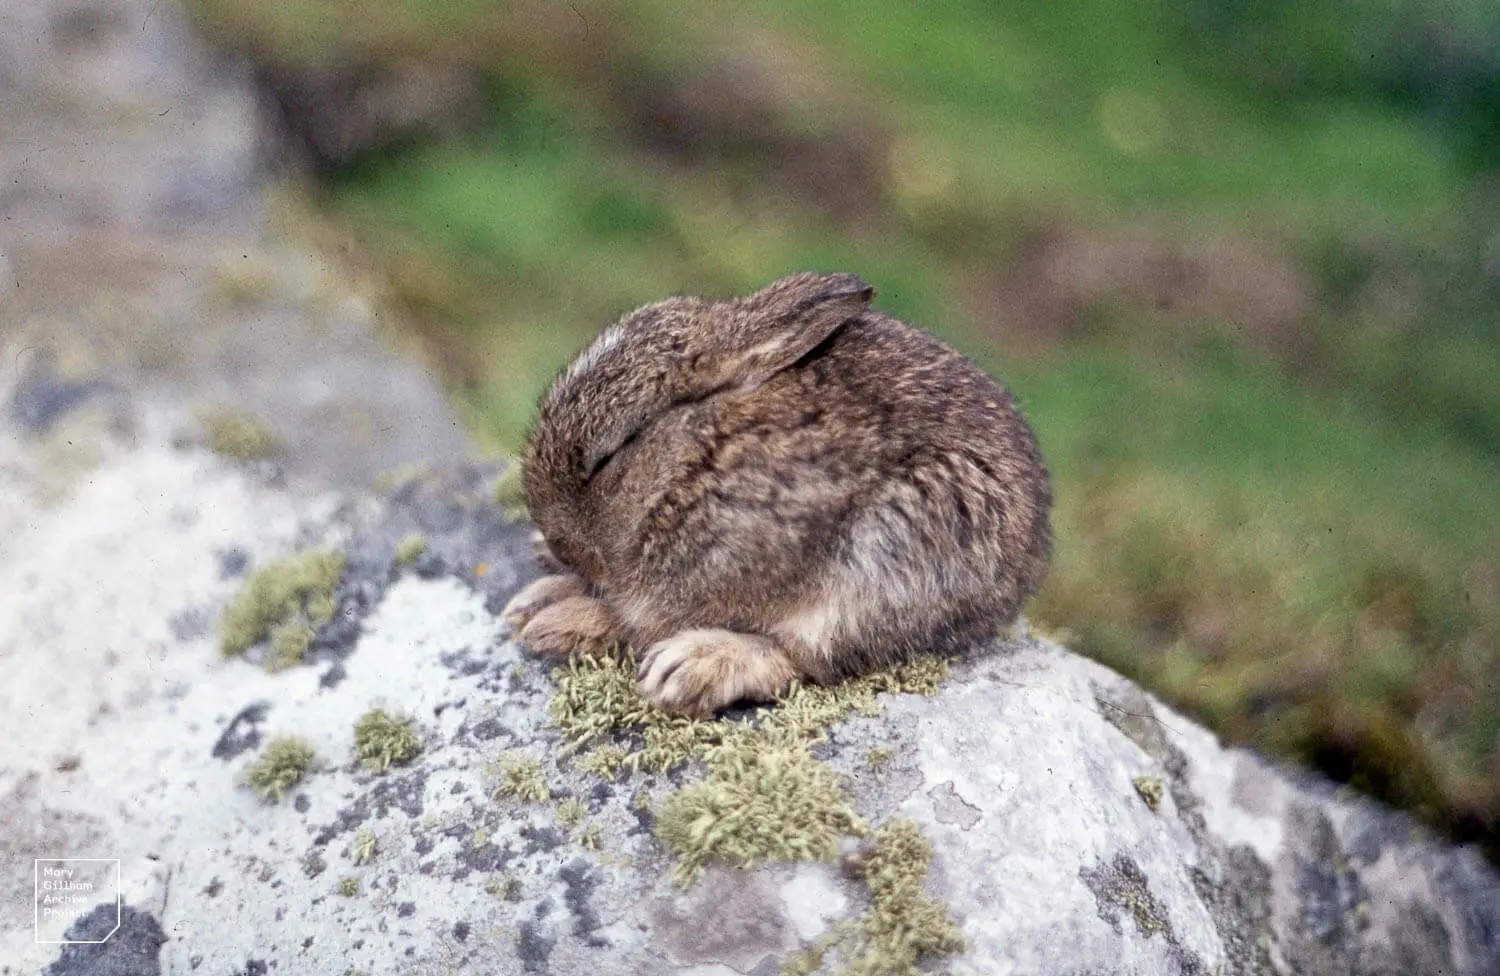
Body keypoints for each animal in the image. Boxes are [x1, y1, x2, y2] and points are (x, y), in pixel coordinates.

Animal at [501, 272, 1051, 717]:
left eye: (609, 454)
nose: (559, 543)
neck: (697, 454)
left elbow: (639, 617)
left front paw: (561, 618)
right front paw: (540, 594)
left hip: (894, 552)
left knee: (810, 656)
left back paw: (692, 667)